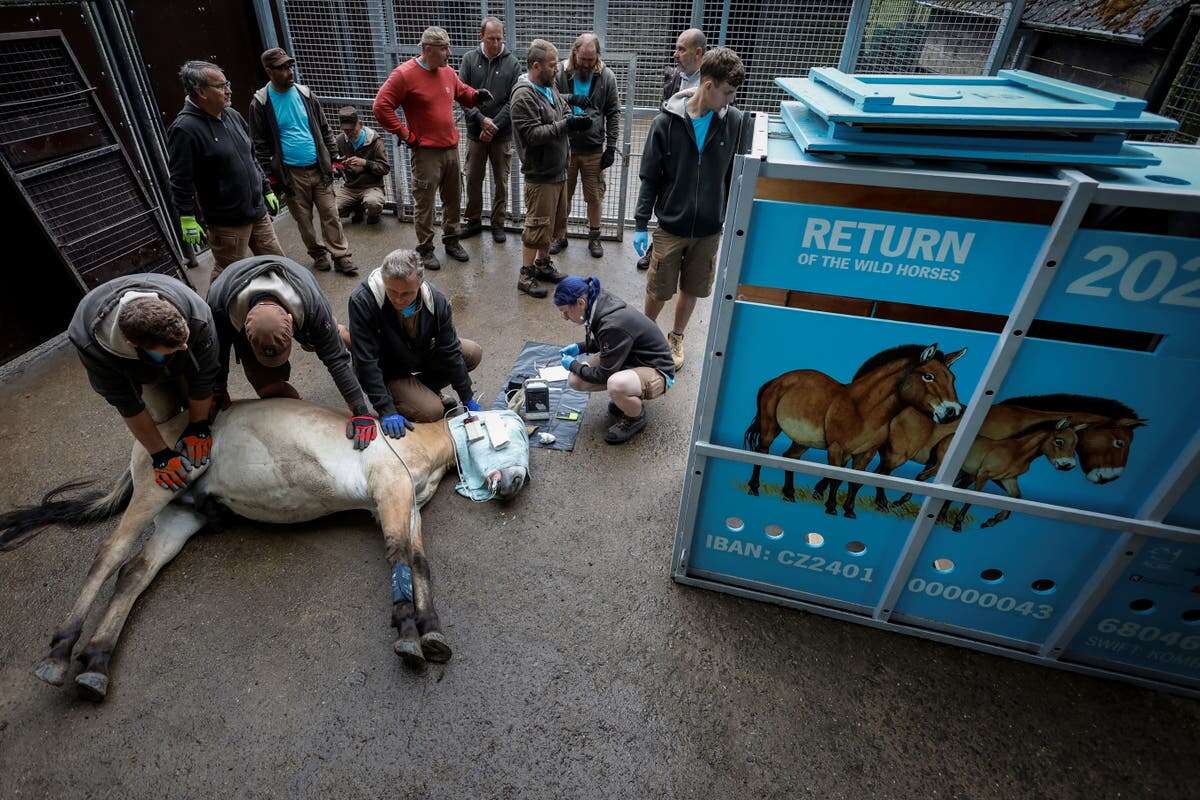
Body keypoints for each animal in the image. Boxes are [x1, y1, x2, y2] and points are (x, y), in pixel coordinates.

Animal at [0, 400, 530, 700]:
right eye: (507, 434)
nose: (517, 483)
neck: (408, 440)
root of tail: (158, 431)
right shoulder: (389, 494)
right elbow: (400, 558)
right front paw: (407, 635)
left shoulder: (408, 505)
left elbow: (418, 563)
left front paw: (432, 631)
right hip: (154, 491)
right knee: (110, 554)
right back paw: (61, 651)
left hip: (181, 515)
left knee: (134, 573)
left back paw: (95, 663)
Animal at [739, 340, 964, 515]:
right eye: (929, 376)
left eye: (952, 378)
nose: (953, 412)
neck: (863, 409)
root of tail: (778, 379)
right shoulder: (837, 449)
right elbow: (836, 478)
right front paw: (831, 507)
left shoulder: (866, 453)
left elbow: (856, 481)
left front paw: (849, 510)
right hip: (770, 427)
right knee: (762, 452)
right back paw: (754, 489)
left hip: (803, 441)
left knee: (790, 458)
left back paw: (789, 495)